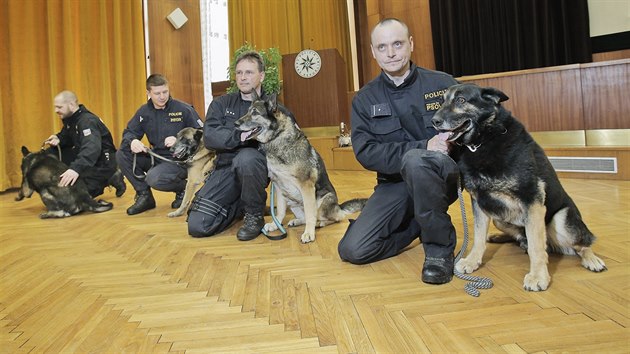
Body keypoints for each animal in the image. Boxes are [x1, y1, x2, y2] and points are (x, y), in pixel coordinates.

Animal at [235, 92, 368, 243]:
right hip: (291, 202)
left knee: (336, 217)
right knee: (305, 217)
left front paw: (309, 233)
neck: (277, 138)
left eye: (255, 112)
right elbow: (280, 211)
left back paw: (319, 223)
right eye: (247, 112)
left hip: (322, 203)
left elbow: (310, 214)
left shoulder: (306, 186)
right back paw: (297, 221)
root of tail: (338, 207)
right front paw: (276, 224)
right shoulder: (278, 186)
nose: (235, 124)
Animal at [434, 84, 608, 292]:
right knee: (518, 235)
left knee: (583, 243)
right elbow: (478, 237)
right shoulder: (479, 202)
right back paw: (498, 237)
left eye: (461, 100)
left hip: (561, 219)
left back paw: (592, 259)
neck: (485, 139)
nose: (434, 121)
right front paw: (472, 261)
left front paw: (538, 276)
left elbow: (536, 247)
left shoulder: (532, 201)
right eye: (442, 101)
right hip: (498, 217)